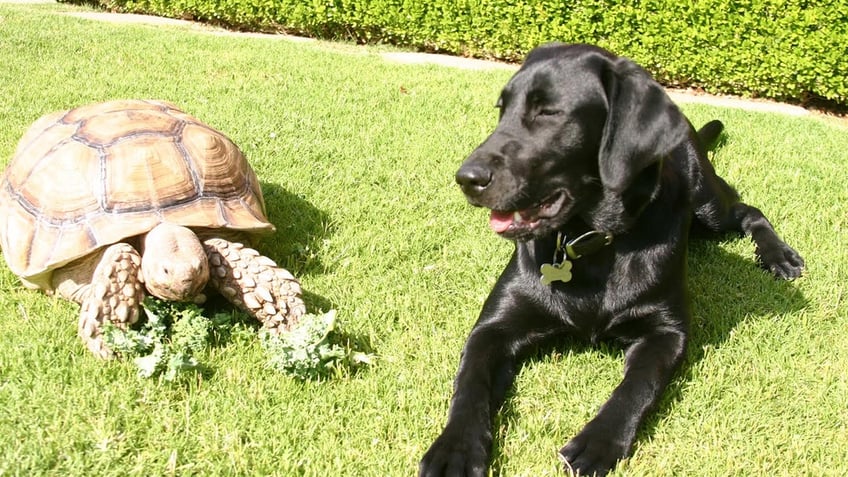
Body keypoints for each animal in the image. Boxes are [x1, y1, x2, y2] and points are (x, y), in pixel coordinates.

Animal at [420, 41, 804, 476]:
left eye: (548, 112)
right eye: (502, 109)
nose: (466, 178)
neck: (590, 242)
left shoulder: (667, 331)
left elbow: (637, 387)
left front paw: (597, 442)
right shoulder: (493, 327)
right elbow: (469, 385)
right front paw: (454, 450)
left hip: (707, 205)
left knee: (747, 210)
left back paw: (780, 256)